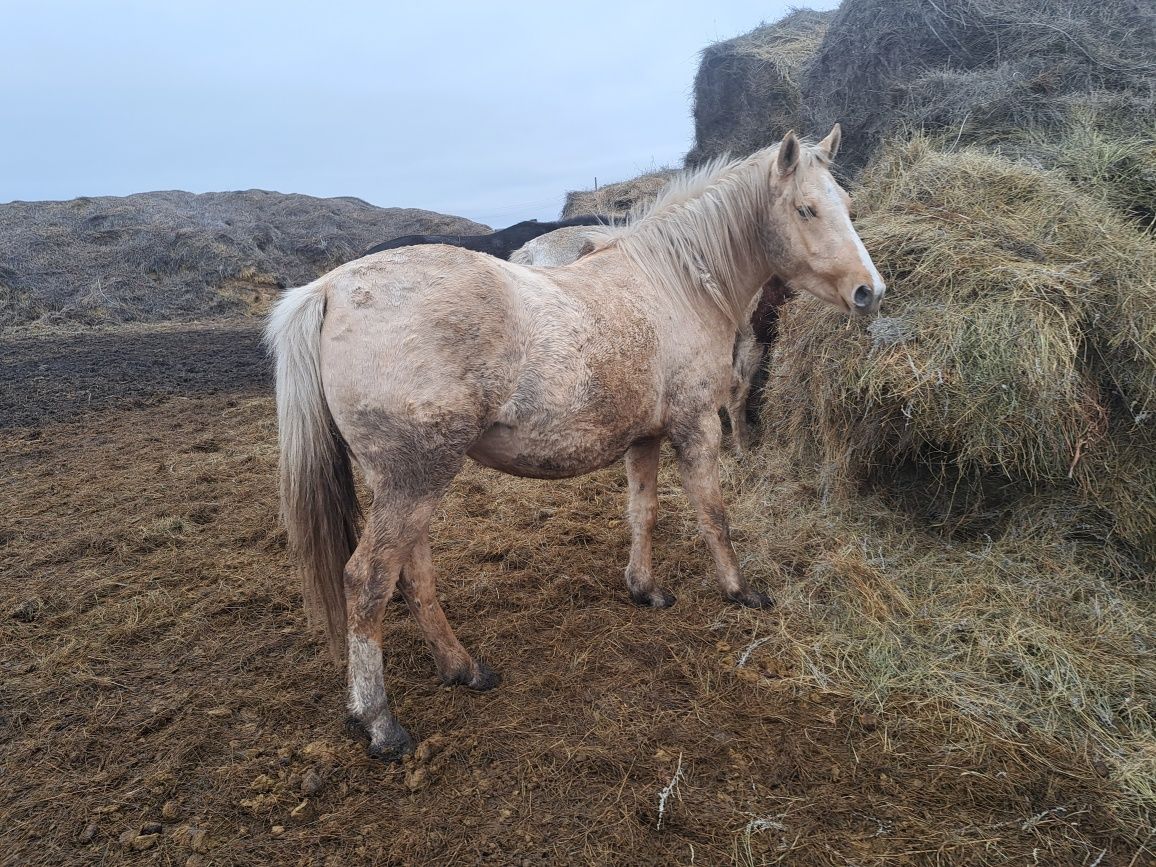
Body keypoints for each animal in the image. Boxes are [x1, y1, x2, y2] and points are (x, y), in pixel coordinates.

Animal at [268, 123, 883, 758]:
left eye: (846, 204)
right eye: (806, 209)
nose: (870, 291)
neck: (676, 284)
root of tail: (331, 287)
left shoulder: (645, 438)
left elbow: (644, 513)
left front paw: (645, 589)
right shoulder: (696, 426)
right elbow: (714, 514)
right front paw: (740, 591)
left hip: (406, 482)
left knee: (411, 574)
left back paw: (462, 668)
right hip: (414, 480)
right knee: (367, 582)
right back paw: (380, 722)